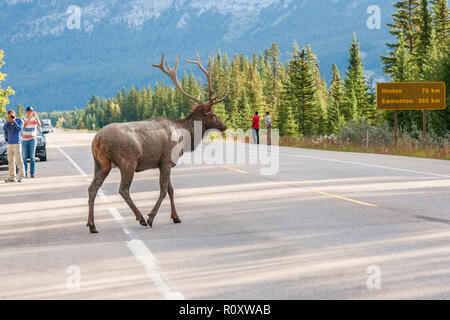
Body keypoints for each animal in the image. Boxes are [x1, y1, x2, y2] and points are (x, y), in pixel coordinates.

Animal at [87, 51, 229, 234]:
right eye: (212, 114)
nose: (224, 125)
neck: (185, 136)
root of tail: (97, 139)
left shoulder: (163, 163)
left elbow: (171, 190)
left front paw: (176, 217)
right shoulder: (167, 159)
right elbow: (163, 191)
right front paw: (151, 217)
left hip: (100, 163)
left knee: (92, 188)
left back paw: (92, 225)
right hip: (128, 161)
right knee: (123, 189)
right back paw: (140, 218)